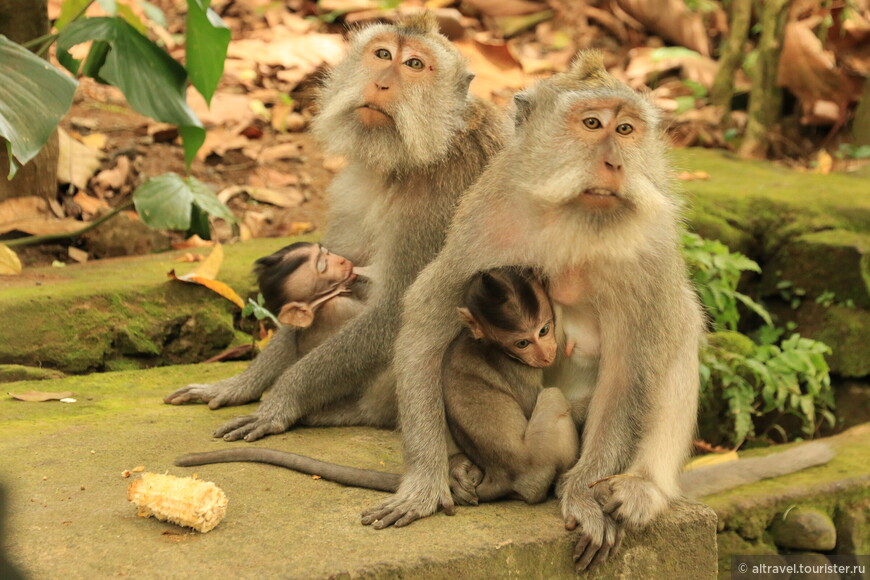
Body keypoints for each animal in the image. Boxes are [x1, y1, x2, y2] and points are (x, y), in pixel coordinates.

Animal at [162, 13, 510, 438]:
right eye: (383, 55)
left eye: (414, 64)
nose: (381, 83)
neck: (420, 155)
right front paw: (239, 385)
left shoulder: (441, 200)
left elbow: (397, 311)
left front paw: (281, 400)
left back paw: (353, 413)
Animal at [175, 268, 580, 502]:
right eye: (523, 341)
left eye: (544, 329)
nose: (547, 351)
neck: (490, 344)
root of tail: (504, 473)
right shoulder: (522, 370)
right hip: (540, 453)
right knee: (553, 398)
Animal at [362, 51, 708, 572]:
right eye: (592, 123)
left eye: (626, 129)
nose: (614, 162)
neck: (572, 215)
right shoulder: (485, 218)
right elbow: (426, 319)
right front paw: (425, 481)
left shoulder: (648, 250)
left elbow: (631, 368)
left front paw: (584, 497)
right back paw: (460, 466)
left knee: (678, 329)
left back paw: (641, 488)